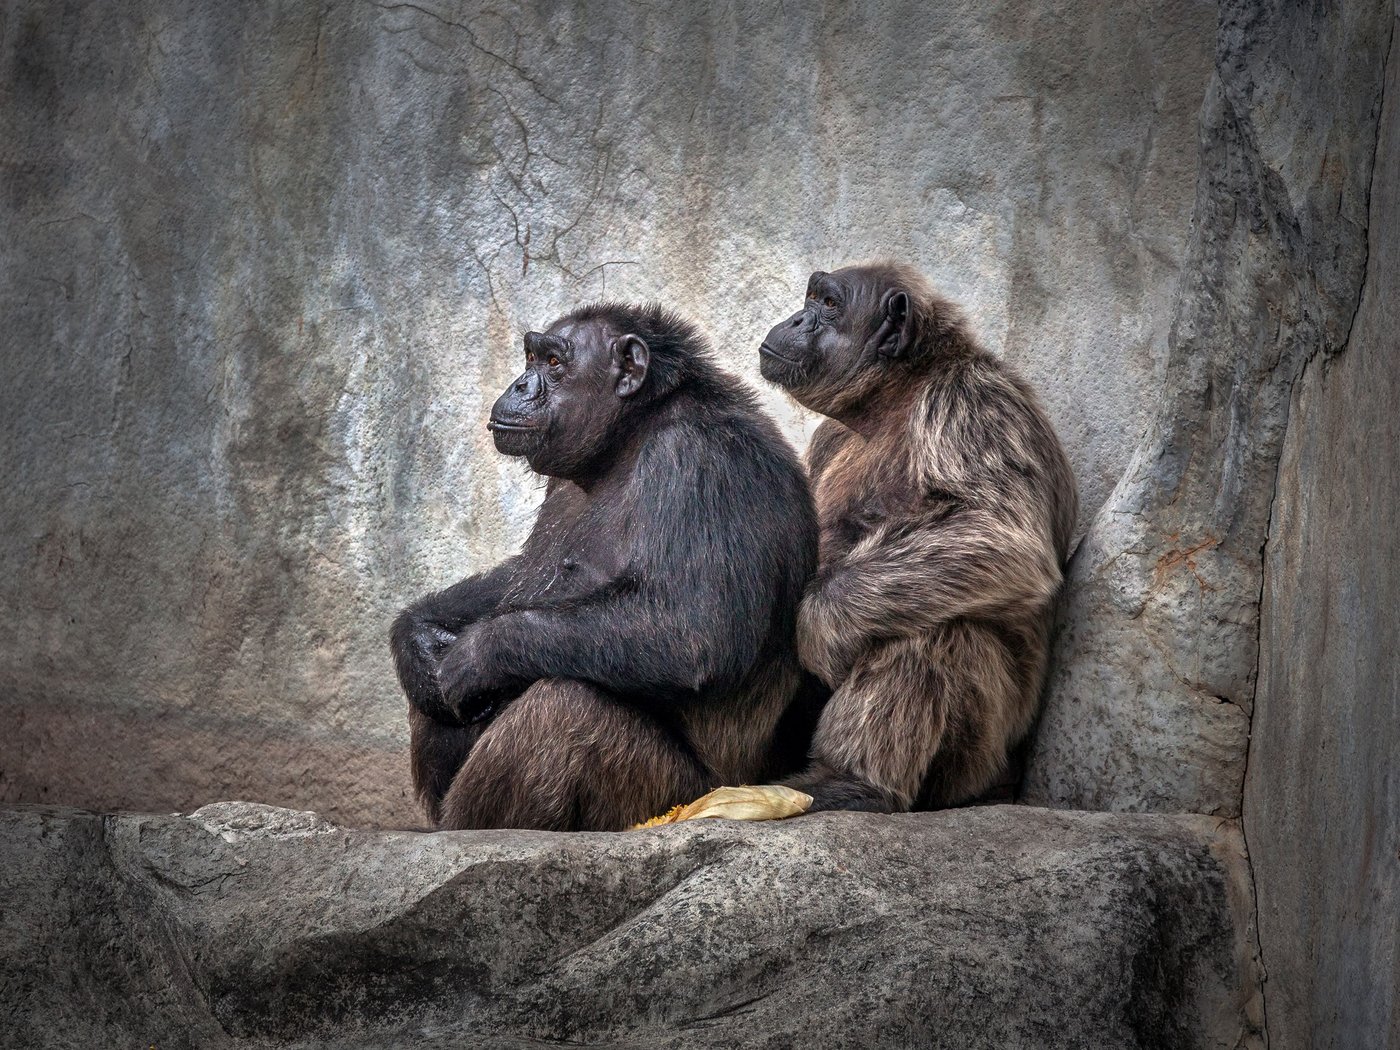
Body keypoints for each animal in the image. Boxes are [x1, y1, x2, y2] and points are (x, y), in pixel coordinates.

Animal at [389, 299, 817, 834]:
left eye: (554, 363)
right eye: (531, 358)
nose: (520, 384)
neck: (626, 437)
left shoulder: (700, 464)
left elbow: (693, 629)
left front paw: (475, 654)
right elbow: (520, 572)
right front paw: (417, 636)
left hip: (665, 802)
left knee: (565, 710)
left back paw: (469, 827)